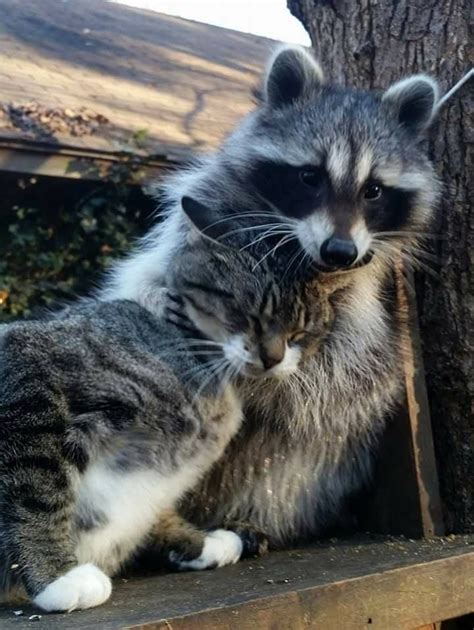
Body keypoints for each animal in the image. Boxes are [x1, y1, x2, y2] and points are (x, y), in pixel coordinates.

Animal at [0, 233, 334, 612]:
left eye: (302, 330)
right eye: (258, 314)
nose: (274, 358)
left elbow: (155, 512)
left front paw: (206, 542)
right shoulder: (29, 364)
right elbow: (36, 493)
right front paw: (57, 577)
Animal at [101, 45, 440, 548]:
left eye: (374, 190)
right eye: (310, 177)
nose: (338, 251)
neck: (293, 248)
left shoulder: (363, 293)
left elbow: (343, 374)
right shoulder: (202, 210)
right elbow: (143, 280)